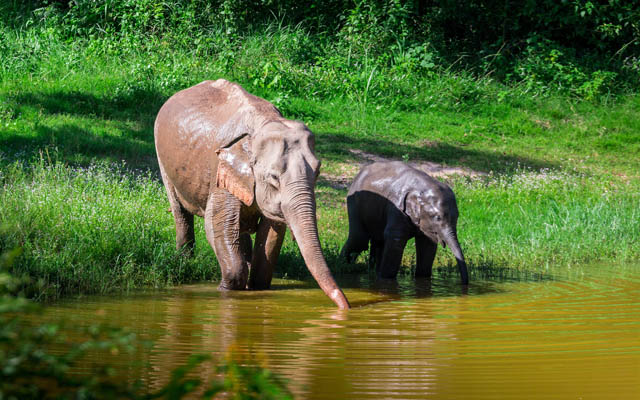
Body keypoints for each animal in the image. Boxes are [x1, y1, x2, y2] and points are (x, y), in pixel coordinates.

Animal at [154, 79, 350, 310]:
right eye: (273, 177)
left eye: (318, 171)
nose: (346, 307)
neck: (263, 125)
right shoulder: (221, 172)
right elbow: (216, 224)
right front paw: (226, 290)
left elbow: (272, 232)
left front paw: (256, 288)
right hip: (162, 158)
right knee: (180, 211)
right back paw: (184, 260)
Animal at [340, 162, 470, 284]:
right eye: (438, 218)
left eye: (457, 216)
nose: (463, 284)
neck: (421, 188)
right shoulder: (397, 209)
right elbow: (396, 239)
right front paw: (385, 280)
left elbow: (427, 244)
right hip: (354, 202)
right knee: (359, 240)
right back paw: (342, 265)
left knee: (378, 241)